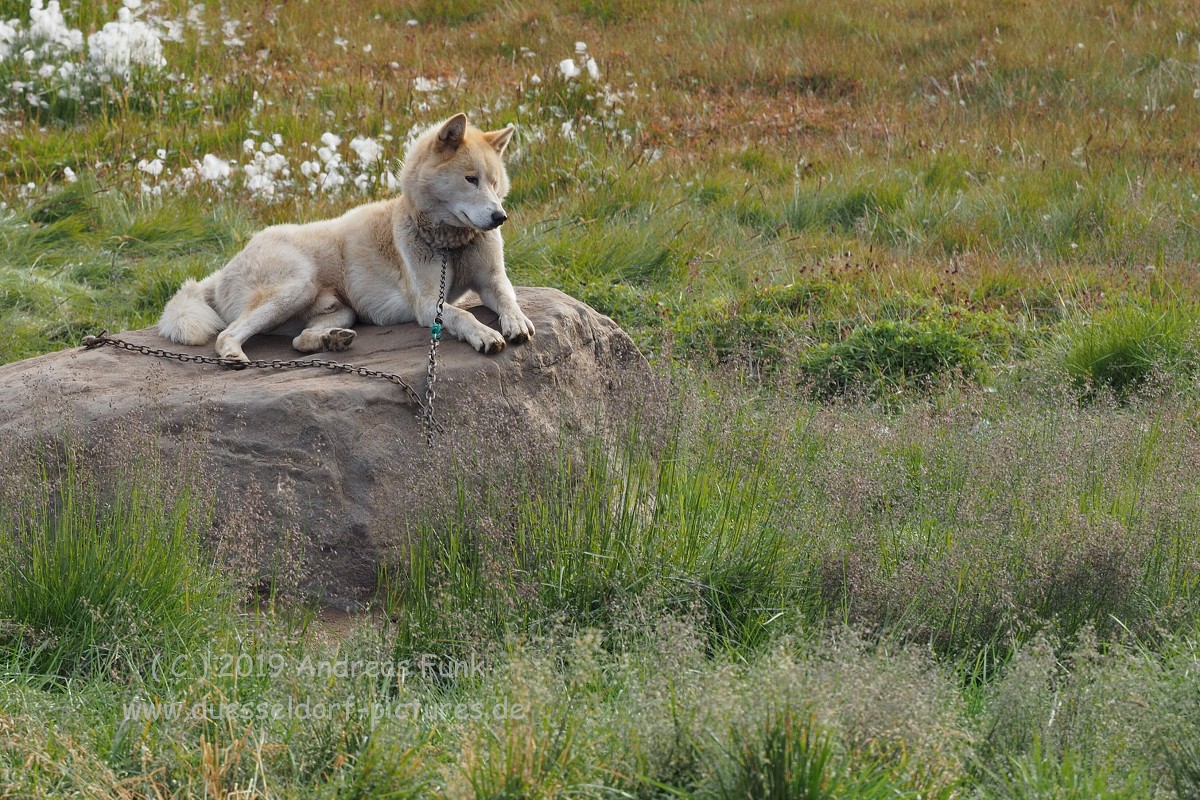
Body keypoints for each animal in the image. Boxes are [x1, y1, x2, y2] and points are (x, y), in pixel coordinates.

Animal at [154, 112, 535, 362]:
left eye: (494, 182)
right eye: (471, 179)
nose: (500, 217)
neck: (450, 242)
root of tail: (222, 271)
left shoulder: (491, 279)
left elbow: (508, 297)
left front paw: (515, 322)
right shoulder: (429, 304)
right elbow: (462, 316)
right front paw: (485, 334)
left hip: (342, 311)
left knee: (300, 341)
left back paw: (332, 342)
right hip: (296, 286)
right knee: (226, 334)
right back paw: (234, 355)